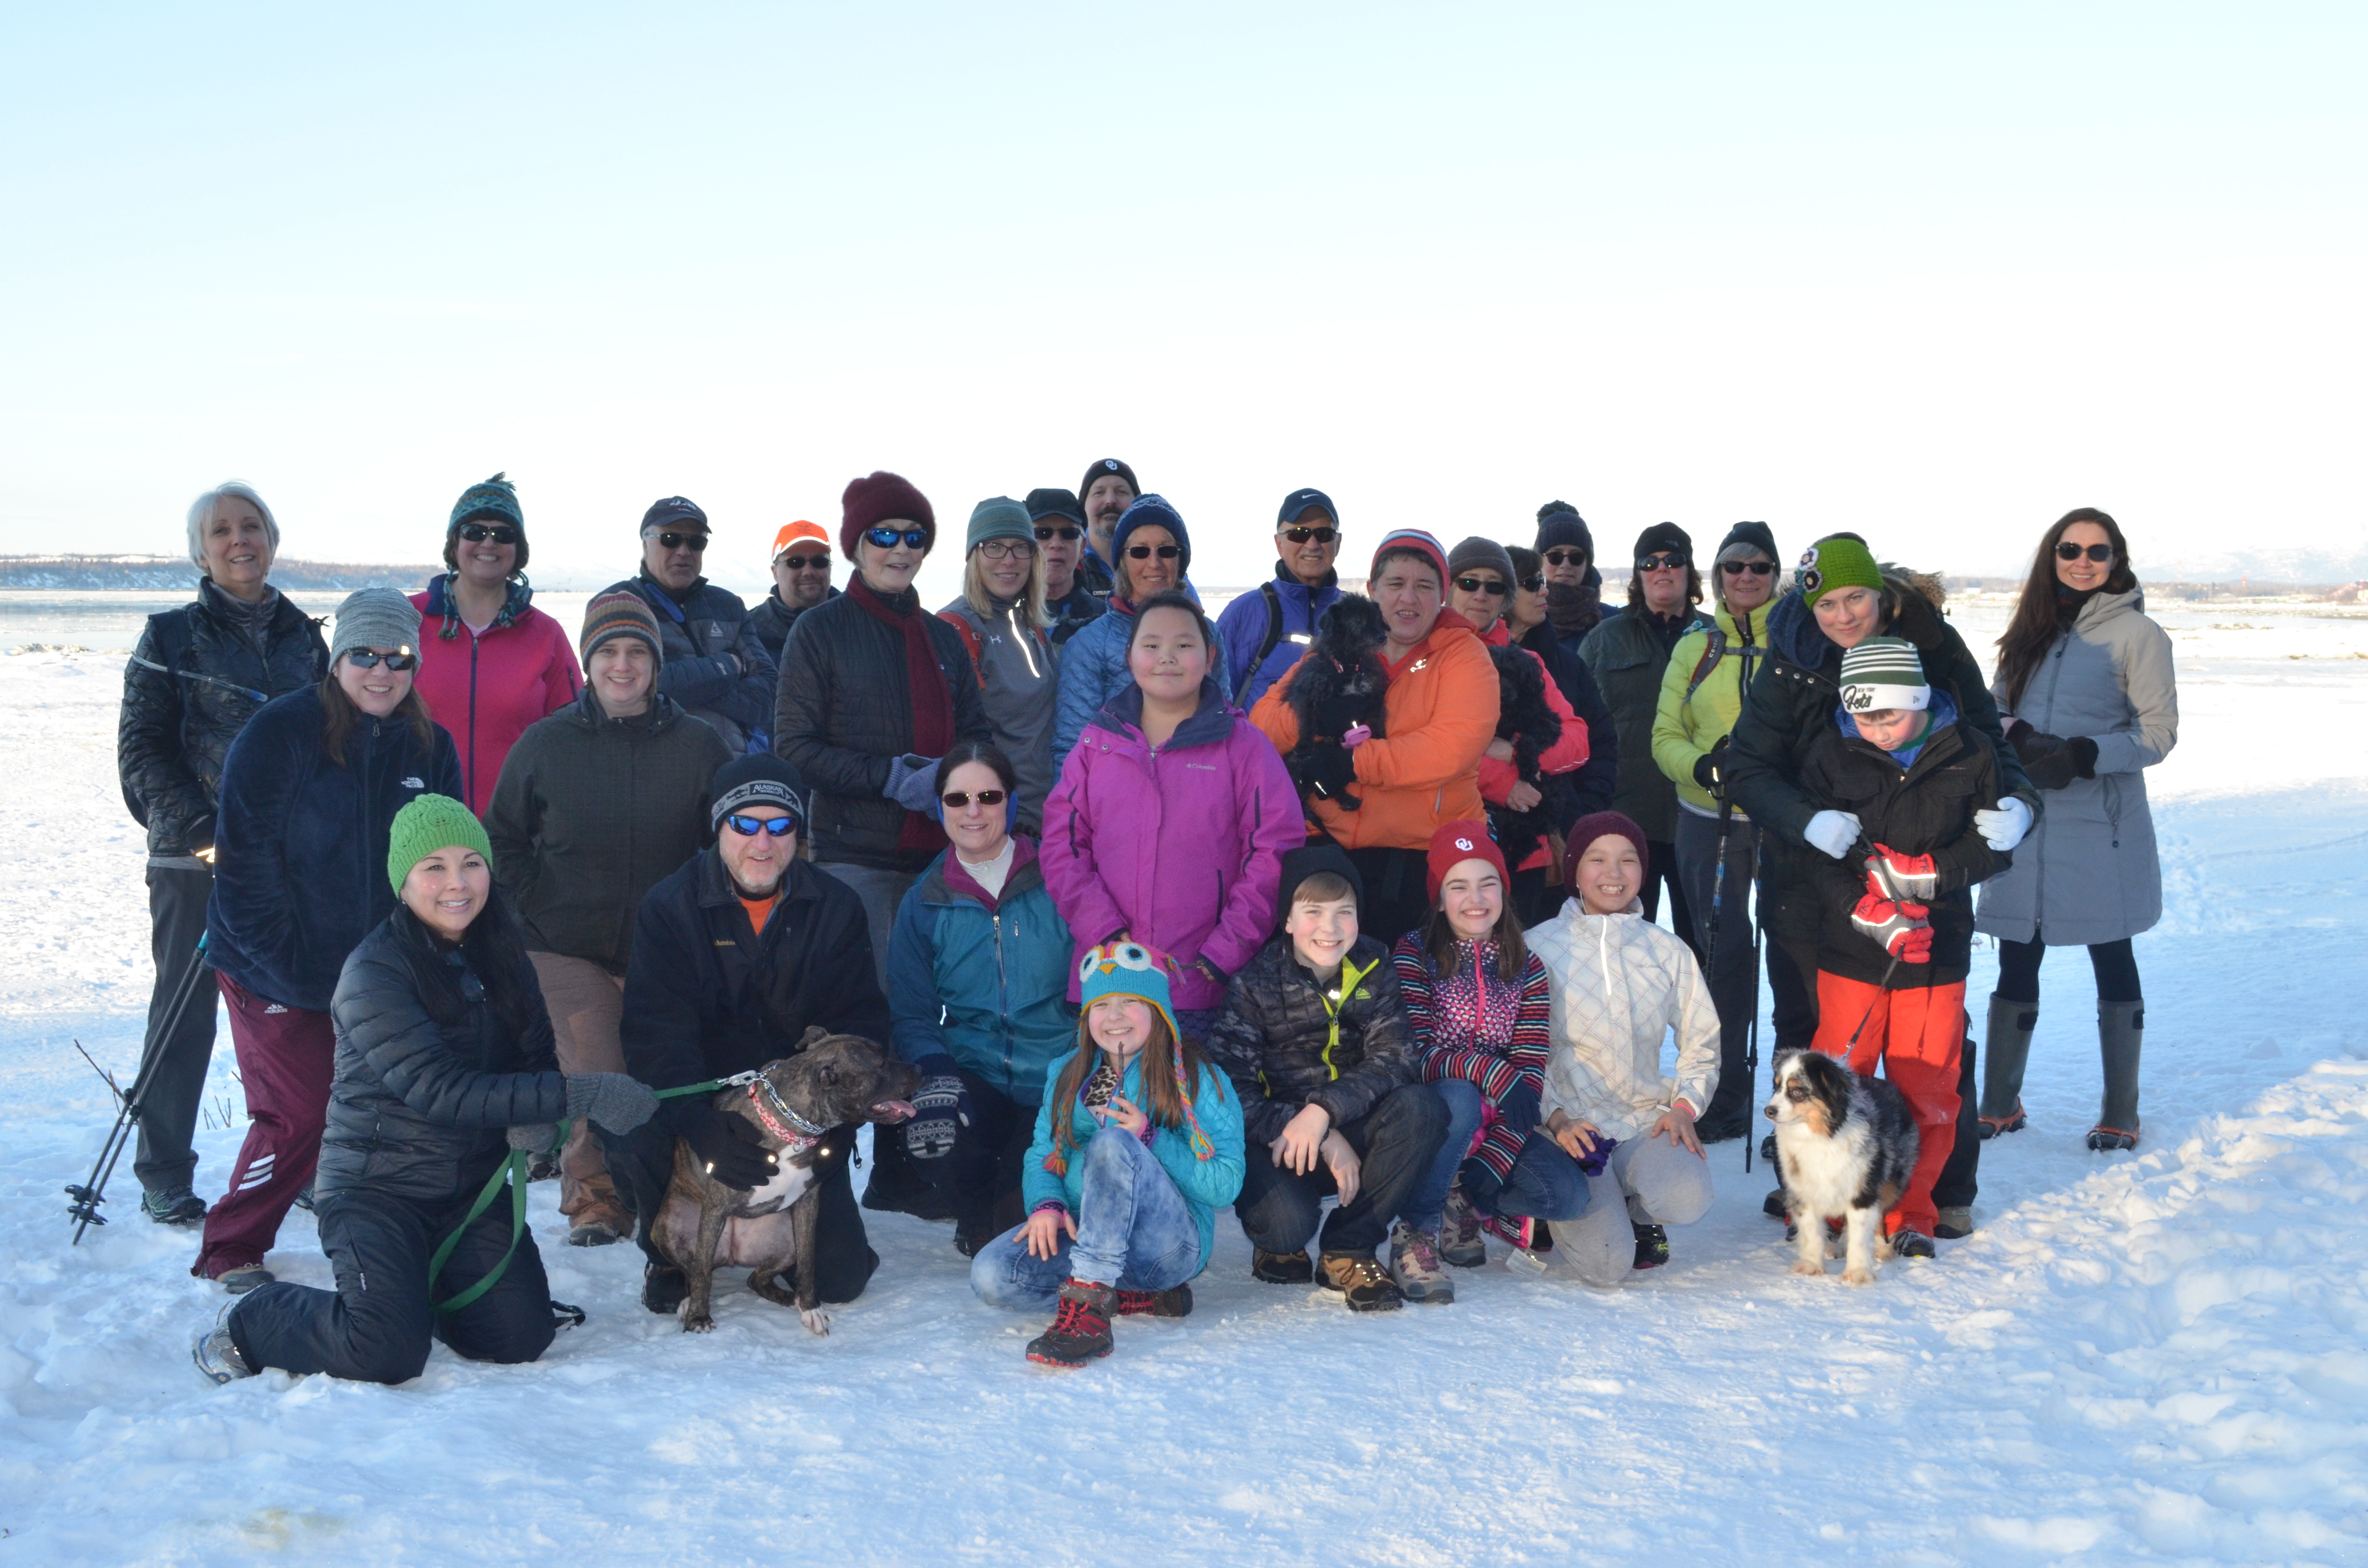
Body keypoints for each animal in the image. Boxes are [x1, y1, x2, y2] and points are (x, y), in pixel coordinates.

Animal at [651, 1027, 921, 1335]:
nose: (920, 1068)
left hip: (785, 1242)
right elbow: (701, 1276)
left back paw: (792, 1298)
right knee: (695, 1268)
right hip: (668, 1227)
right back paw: (687, 1302)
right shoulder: (715, 1209)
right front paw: (698, 1317)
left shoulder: (807, 1206)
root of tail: (731, 1256)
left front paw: (811, 1308)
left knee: (754, 1279)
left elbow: (808, 1264)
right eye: (881, 1065)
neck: (791, 1127)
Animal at [1284, 596, 1391, 811]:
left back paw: (1347, 800)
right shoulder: (1307, 692)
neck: (1348, 666)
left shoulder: (1374, 694)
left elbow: (1378, 716)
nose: (1382, 637)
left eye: (1377, 619)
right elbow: (1307, 721)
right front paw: (1304, 745)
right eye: (1359, 620)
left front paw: (1380, 737)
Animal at [1481, 643, 1565, 859]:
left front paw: (1528, 766)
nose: (1502, 694)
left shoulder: (1548, 723)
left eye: (1512, 674)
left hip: (1546, 808)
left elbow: (1528, 739)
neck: (1506, 713)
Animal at [1763, 1050, 1919, 1286]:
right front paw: (1811, 1266)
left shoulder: (1863, 1190)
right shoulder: (1803, 1191)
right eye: (1776, 1086)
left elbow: (1860, 1236)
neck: (1822, 1136)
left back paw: (1880, 1248)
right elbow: (1811, 1232)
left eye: (1797, 1091)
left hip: (1891, 1180)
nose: (1769, 1111)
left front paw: (1857, 1273)